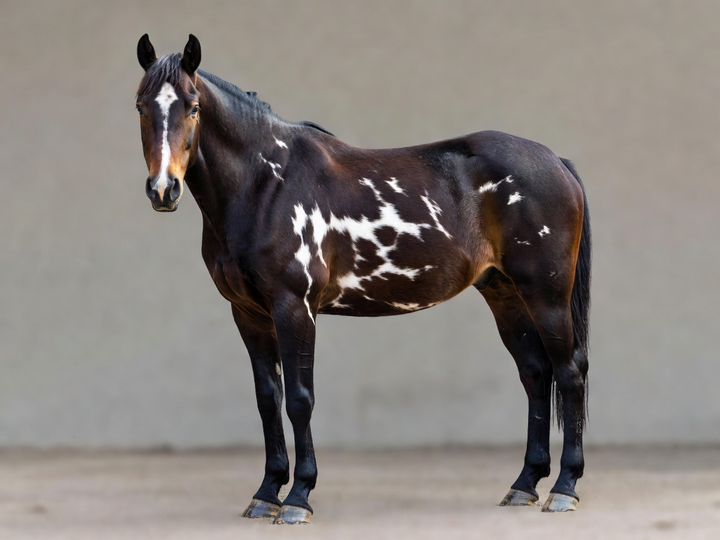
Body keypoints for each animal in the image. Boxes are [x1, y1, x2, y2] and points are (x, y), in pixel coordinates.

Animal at [134, 34, 591, 524]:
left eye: (193, 106)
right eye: (141, 105)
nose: (163, 190)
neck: (265, 185)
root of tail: (555, 161)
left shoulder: (295, 307)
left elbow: (300, 398)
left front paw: (298, 498)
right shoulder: (248, 313)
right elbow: (267, 399)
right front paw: (266, 493)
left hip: (546, 295)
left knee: (569, 373)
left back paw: (564, 488)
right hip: (505, 295)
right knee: (535, 373)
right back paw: (525, 484)